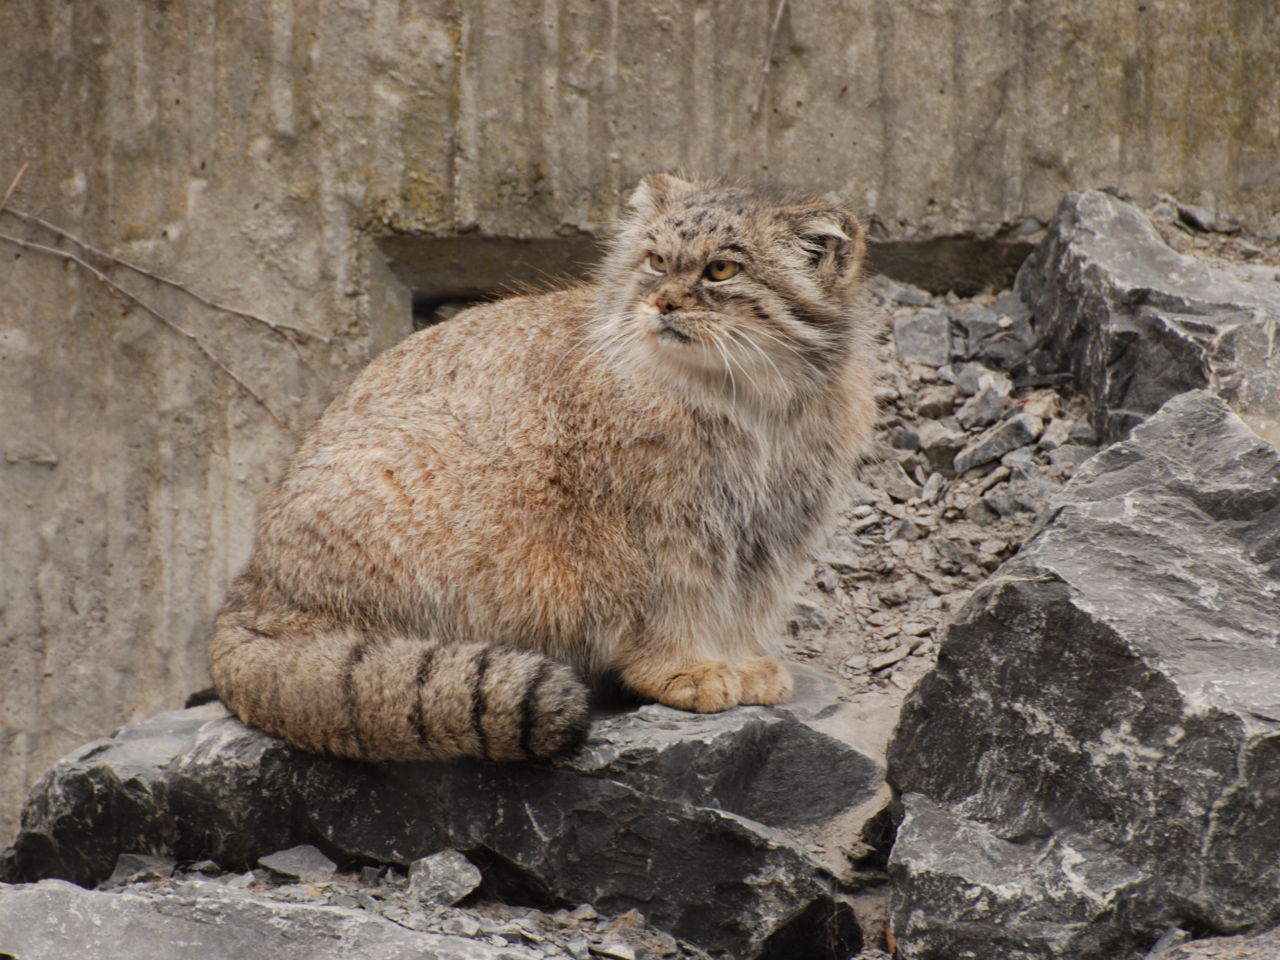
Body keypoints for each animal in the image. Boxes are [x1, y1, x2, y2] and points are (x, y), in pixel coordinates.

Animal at [212, 171, 880, 757]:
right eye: (655, 261)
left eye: (721, 269)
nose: (662, 302)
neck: (750, 402)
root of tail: (253, 590)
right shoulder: (653, 530)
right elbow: (671, 603)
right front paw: (686, 667)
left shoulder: (770, 528)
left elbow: (747, 600)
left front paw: (739, 659)